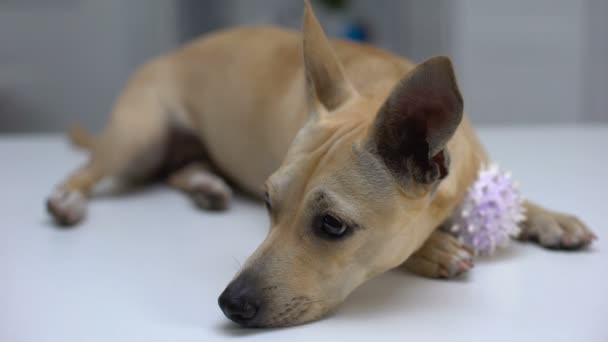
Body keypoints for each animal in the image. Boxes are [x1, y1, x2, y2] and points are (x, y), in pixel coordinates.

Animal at [46, 1, 592, 328]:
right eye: (268, 202)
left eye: (332, 225)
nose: (229, 304)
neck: (375, 91)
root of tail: (169, 54)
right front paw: (434, 249)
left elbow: (521, 204)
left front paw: (549, 218)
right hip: (139, 136)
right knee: (90, 170)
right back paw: (67, 200)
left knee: (179, 169)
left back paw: (206, 186)